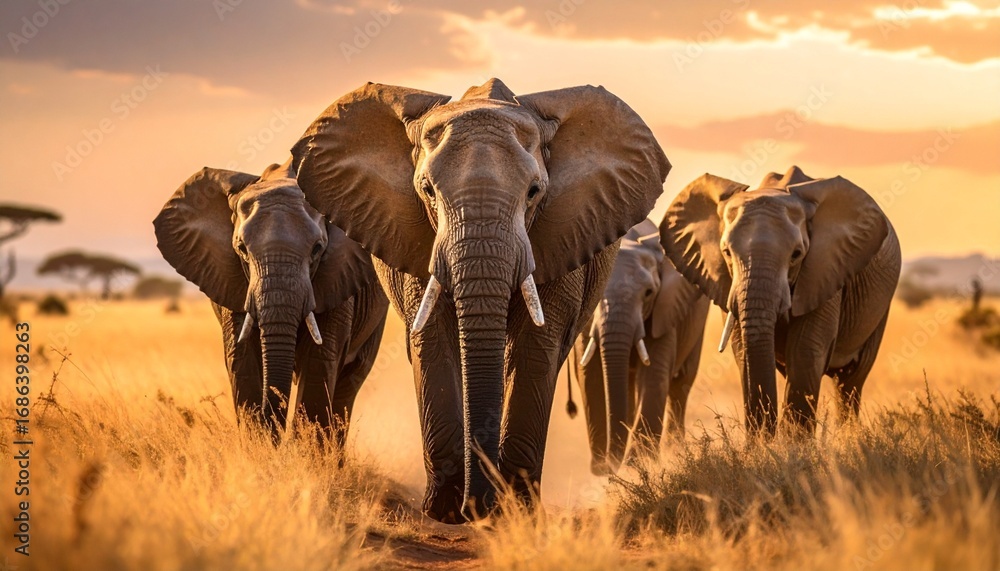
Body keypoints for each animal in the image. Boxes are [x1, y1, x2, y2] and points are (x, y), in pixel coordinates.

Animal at [153, 159, 389, 442]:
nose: (276, 429)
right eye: (241, 249)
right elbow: (243, 359)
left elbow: (319, 363)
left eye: (317, 249)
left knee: (350, 384)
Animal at [290, 78, 670, 521]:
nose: (478, 507)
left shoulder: (560, 234)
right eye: (427, 191)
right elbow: (433, 341)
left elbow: (535, 348)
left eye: (534, 192)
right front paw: (445, 510)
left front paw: (514, 509)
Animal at [570, 218, 709, 475]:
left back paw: (674, 451)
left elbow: (654, 375)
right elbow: (590, 376)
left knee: (680, 385)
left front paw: (636, 465)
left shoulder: (665, 310)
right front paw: (602, 468)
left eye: (648, 293)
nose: (610, 465)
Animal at [662, 166, 901, 435]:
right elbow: (743, 350)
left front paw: (793, 445)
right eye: (726, 253)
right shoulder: (725, 282)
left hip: (880, 307)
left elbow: (805, 348)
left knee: (850, 381)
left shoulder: (825, 268)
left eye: (796, 254)